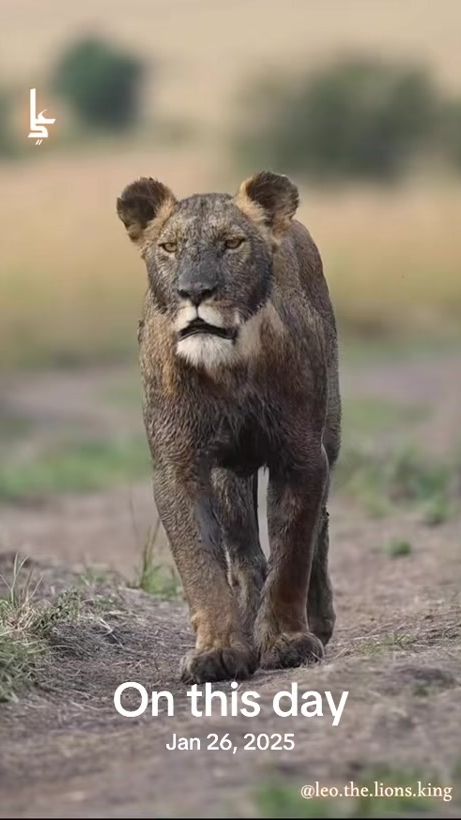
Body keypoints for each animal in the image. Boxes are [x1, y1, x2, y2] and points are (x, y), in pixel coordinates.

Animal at [117, 171, 341, 683]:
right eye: (169, 247)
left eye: (232, 243)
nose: (195, 291)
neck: (228, 371)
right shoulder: (178, 466)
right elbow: (201, 565)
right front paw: (219, 649)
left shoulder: (302, 456)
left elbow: (292, 553)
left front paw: (287, 641)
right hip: (227, 473)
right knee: (244, 555)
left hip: (331, 433)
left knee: (319, 526)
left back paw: (317, 620)